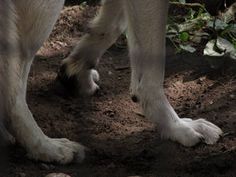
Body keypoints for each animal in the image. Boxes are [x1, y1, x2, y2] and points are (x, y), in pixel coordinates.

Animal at [0, 0, 222, 164]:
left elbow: (110, 28)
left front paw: (75, 74)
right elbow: (150, 75)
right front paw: (176, 127)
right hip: (42, 12)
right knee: (13, 94)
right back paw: (48, 148)